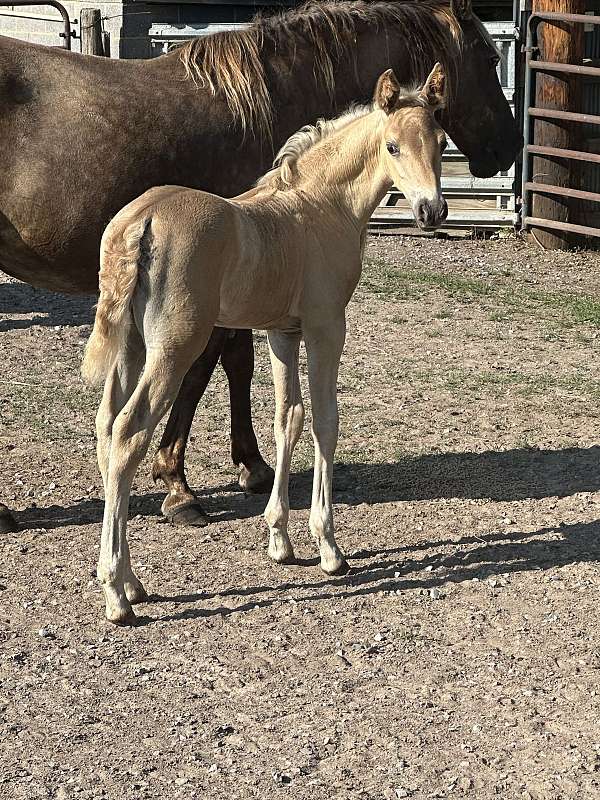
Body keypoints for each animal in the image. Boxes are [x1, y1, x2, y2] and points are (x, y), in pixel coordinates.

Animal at [83, 65, 446, 620]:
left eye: (442, 143)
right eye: (392, 147)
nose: (432, 211)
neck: (321, 208)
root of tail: (139, 223)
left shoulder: (282, 332)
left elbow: (286, 418)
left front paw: (280, 540)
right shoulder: (325, 327)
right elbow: (324, 422)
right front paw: (329, 547)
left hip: (132, 346)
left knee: (106, 429)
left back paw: (132, 581)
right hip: (174, 347)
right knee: (128, 434)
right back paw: (117, 596)